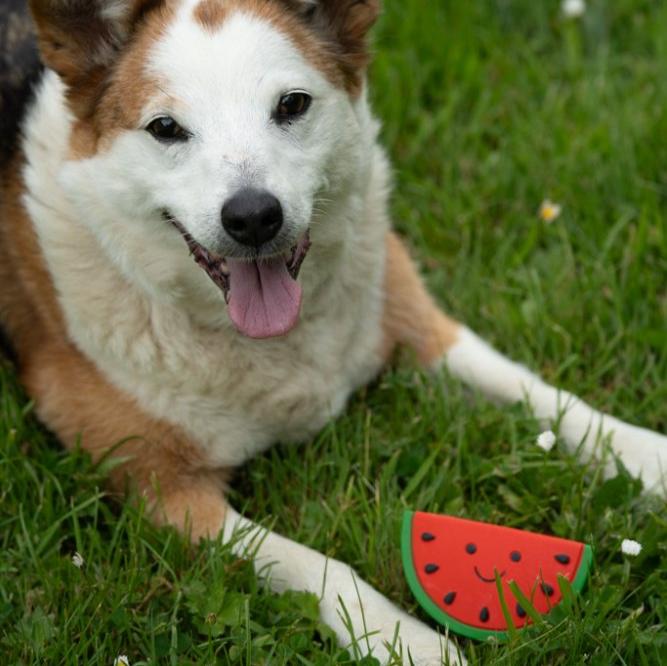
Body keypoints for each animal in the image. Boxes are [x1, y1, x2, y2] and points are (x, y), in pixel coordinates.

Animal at [0, 1, 664, 660]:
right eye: (166, 128)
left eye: (292, 105)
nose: (253, 218)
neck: (271, 341)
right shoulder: (156, 486)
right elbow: (320, 567)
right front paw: (403, 639)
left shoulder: (416, 322)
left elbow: (551, 399)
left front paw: (648, 457)